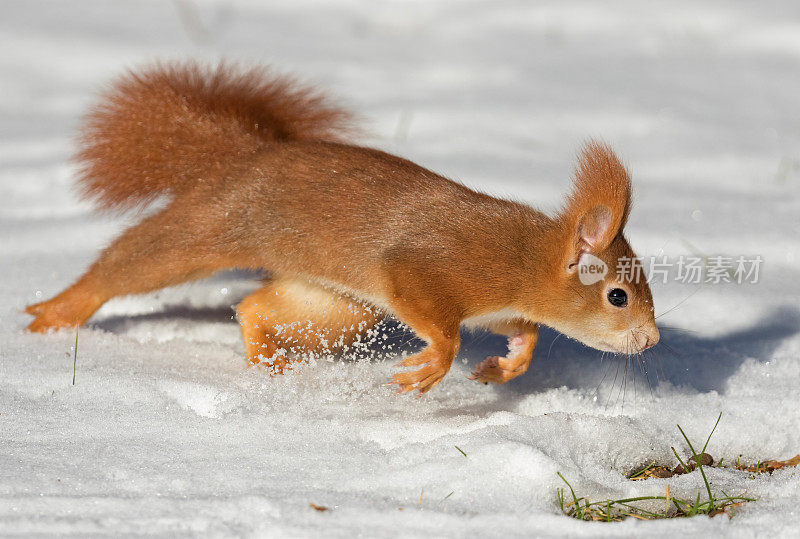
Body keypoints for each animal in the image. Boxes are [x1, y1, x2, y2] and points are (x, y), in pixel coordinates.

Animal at [28, 61, 660, 394]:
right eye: (618, 295)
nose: (652, 341)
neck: (524, 257)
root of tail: (247, 154)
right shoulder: (431, 269)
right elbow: (444, 326)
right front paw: (433, 366)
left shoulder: (499, 306)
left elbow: (522, 332)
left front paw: (506, 366)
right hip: (214, 225)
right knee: (130, 264)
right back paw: (57, 311)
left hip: (337, 304)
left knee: (254, 307)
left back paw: (267, 359)